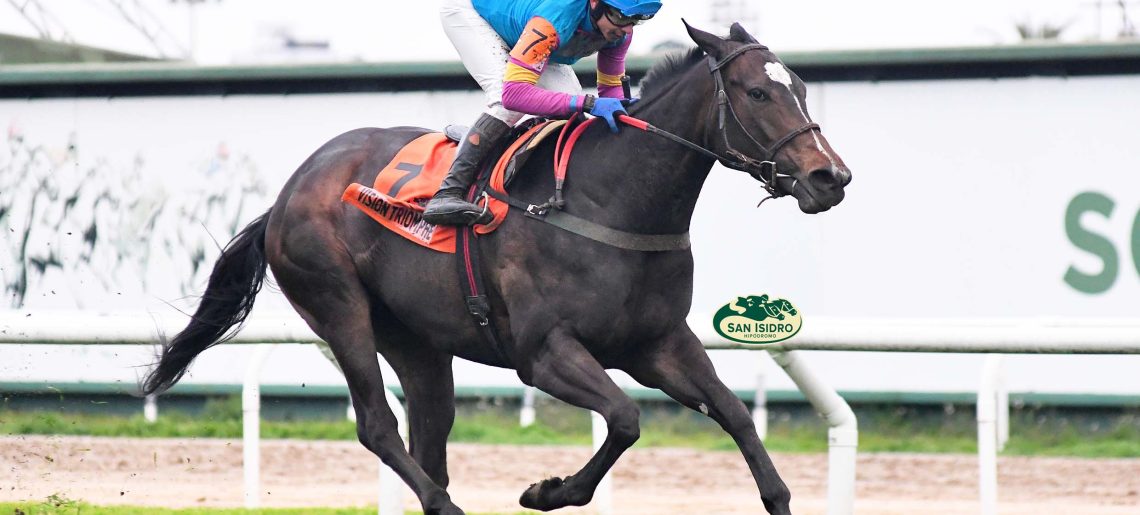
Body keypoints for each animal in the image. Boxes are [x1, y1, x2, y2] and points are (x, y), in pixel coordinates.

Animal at [142, 23, 848, 515]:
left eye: (800, 88)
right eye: (757, 92)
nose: (830, 178)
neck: (611, 201)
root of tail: (287, 193)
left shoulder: (659, 344)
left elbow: (733, 413)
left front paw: (778, 494)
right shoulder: (545, 352)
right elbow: (625, 418)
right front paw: (547, 491)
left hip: (417, 341)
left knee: (429, 431)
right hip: (339, 308)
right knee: (377, 425)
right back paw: (446, 505)